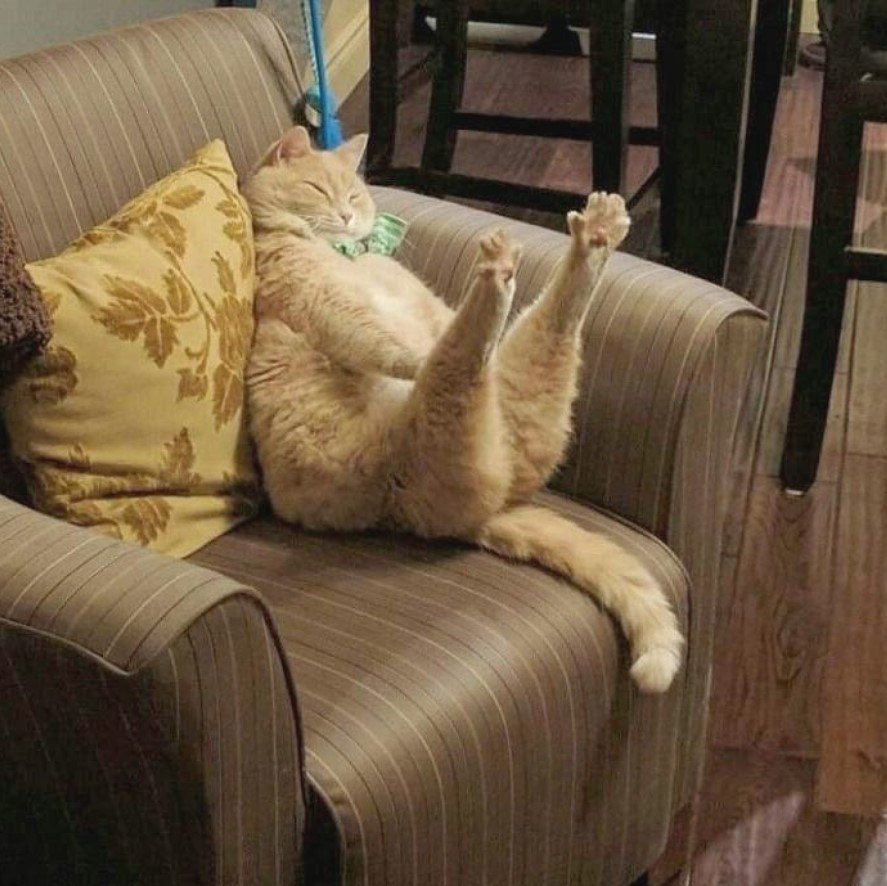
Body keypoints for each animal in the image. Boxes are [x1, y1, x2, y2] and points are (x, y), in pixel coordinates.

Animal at [239, 126, 684, 692]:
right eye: (318, 190)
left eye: (355, 195)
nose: (346, 216)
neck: (344, 252)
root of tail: (483, 517)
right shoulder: (329, 308)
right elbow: (390, 343)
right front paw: (410, 350)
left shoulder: (418, 304)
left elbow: (423, 327)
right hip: (448, 408)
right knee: (459, 353)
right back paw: (500, 273)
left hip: (522, 381)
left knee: (525, 328)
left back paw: (592, 236)